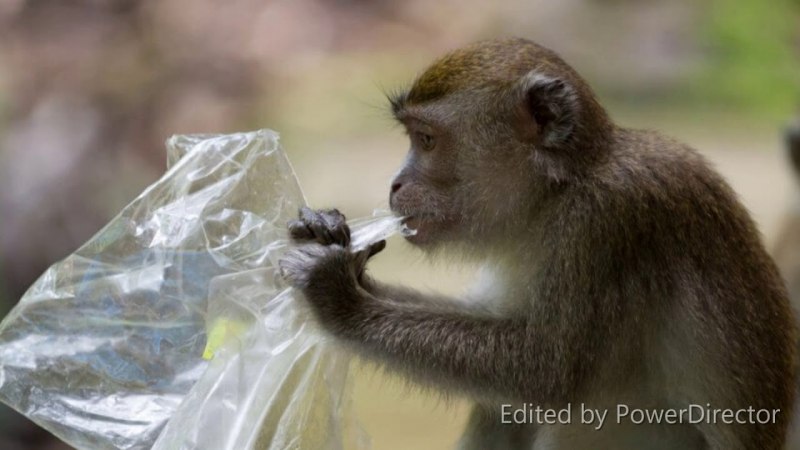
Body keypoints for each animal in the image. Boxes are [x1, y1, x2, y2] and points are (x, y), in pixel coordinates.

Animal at [278, 38, 796, 450]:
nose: (395, 184)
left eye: (426, 139)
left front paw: (340, 299)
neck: (559, 189)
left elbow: (547, 372)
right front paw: (328, 235)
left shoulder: (606, 222)